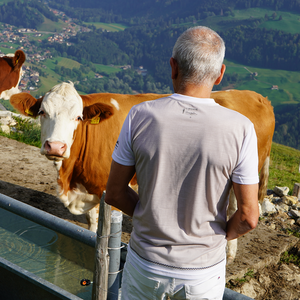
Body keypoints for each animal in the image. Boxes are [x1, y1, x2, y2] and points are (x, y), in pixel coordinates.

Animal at [10, 81, 276, 260]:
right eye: (42, 112)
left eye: (77, 117)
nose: (55, 146)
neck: (72, 179)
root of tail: (255, 95)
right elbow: (92, 224)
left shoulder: (112, 188)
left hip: (244, 174)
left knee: (236, 207)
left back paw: (229, 253)